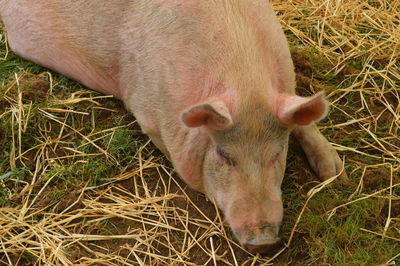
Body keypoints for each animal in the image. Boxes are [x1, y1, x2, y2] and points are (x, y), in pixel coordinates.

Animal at [0, 0, 346, 254]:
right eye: (224, 155)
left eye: (277, 154)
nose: (263, 242)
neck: (247, 87)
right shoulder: (146, 110)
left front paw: (335, 172)